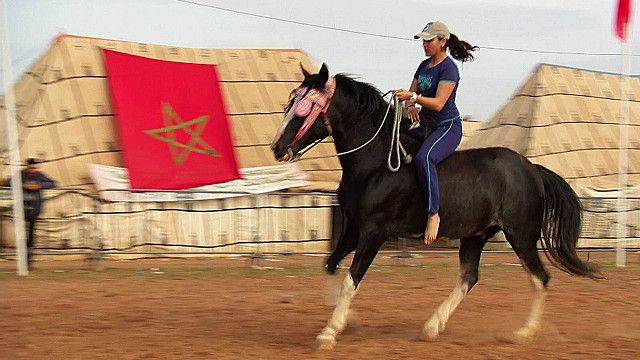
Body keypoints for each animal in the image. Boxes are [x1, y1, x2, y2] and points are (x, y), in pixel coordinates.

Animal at [270, 64, 600, 348]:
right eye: (291, 101)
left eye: (304, 107)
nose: (277, 148)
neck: (374, 164)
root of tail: (532, 169)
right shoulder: (353, 228)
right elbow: (330, 265)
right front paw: (347, 320)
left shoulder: (374, 233)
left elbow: (352, 279)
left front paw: (329, 332)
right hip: (475, 236)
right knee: (469, 278)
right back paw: (432, 326)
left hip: (521, 236)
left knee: (540, 277)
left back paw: (523, 333)